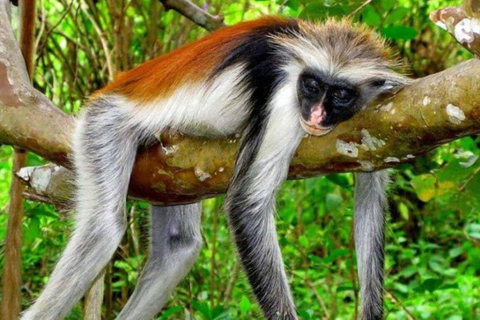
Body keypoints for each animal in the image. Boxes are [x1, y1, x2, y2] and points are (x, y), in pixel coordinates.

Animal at [23, 17, 408, 320]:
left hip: (169, 171)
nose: (314, 115)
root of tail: (111, 90)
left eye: (340, 94)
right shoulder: (286, 97)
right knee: (104, 228)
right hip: (104, 124)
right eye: (312, 86)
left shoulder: (381, 113)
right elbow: (247, 206)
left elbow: (371, 197)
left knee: (179, 246)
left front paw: (371, 311)